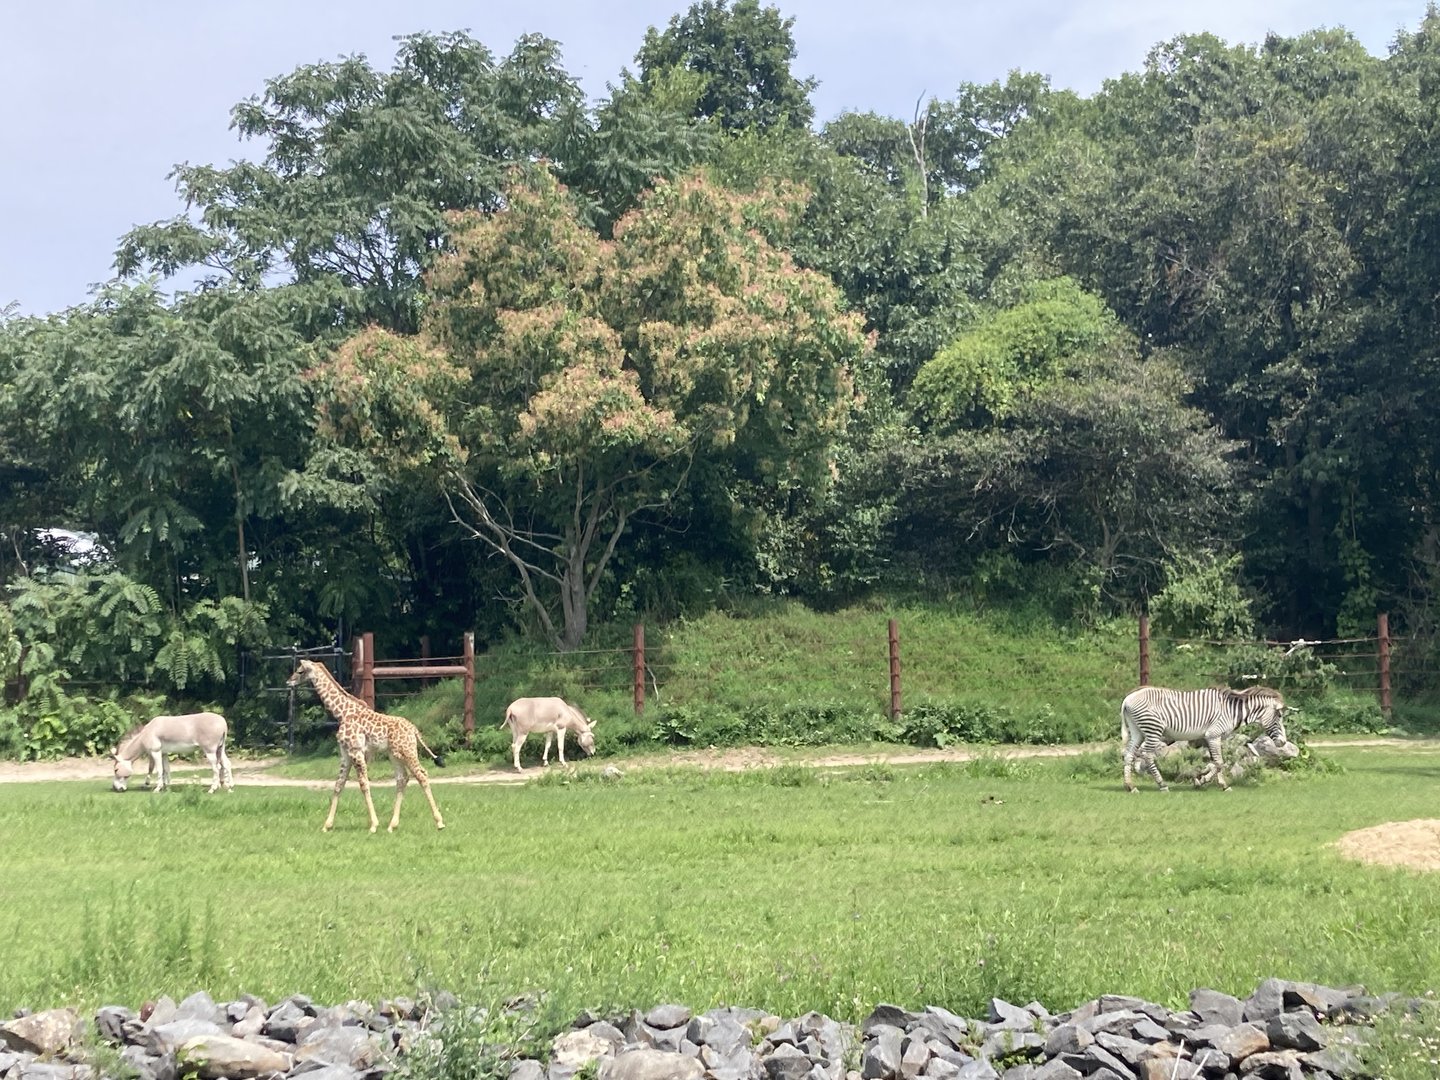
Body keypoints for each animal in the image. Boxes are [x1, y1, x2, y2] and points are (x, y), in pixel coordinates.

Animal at [287, 659, 446, 833]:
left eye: (300, 671)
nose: (289, 681)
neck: (342, 713)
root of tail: (414, 730)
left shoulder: (356, 751)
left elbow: (363, 784)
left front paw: (373, 825)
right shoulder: (345, 753)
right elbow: (339, 784)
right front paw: (327, 825)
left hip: (407, 751)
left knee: (421, 774)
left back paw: (439, 822)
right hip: (394, 755)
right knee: (402, 778)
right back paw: (392, 825)